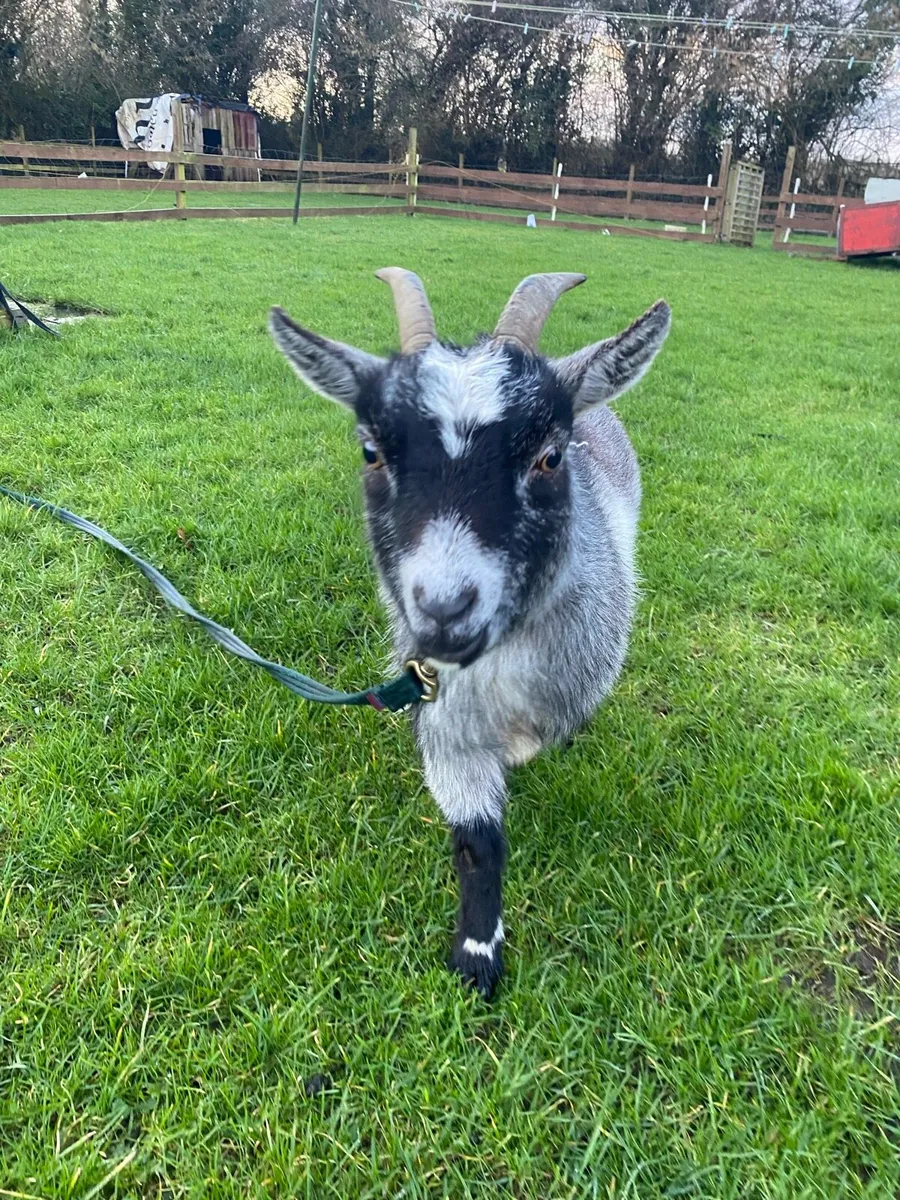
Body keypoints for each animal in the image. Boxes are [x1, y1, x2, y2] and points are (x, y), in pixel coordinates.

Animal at [269, 269, 670, 998]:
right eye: (371, 451)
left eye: (549, 457)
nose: (445, 609)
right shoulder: (443, 720)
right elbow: (478, 841)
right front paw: (478, 954)